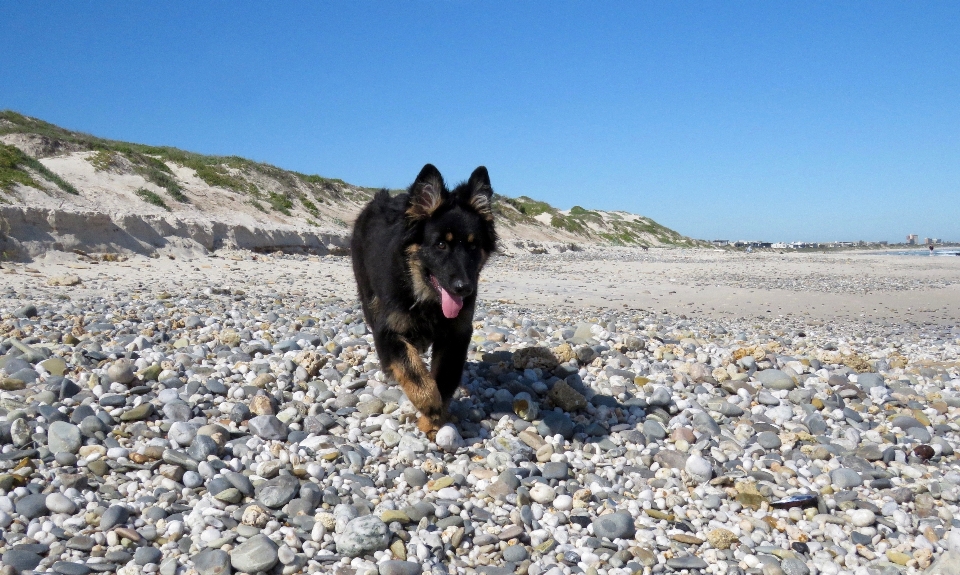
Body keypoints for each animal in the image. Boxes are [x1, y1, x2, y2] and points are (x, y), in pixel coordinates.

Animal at [352, 165, 502, 436]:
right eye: (441, 244)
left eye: (473, 247)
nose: (464, 288)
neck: (426, 297)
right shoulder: (387, 331)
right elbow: (412, 369)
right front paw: (430, 405)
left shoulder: (456, 334)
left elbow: (443, 377)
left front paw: (433, 419)